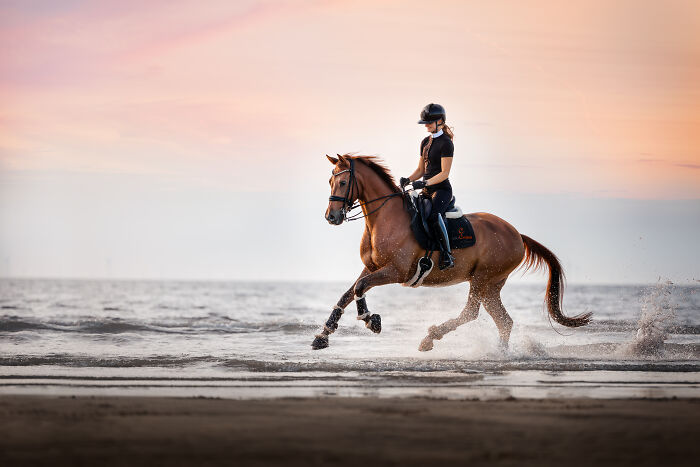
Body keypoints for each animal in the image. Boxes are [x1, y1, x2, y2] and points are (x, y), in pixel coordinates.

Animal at [312, 153, 591, 351]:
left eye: (344, 182)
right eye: (330, 181)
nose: (331, 217)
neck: (383, 219)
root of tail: (517, 235)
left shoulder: (396, 271)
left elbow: (360, 289)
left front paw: (372, 320)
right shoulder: (370, 268)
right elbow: (348, 294)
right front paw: (323, 335)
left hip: (483, 278)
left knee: (472, 312)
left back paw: (431, 337)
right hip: (492, 285)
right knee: (504, 321)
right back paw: (500, 354)